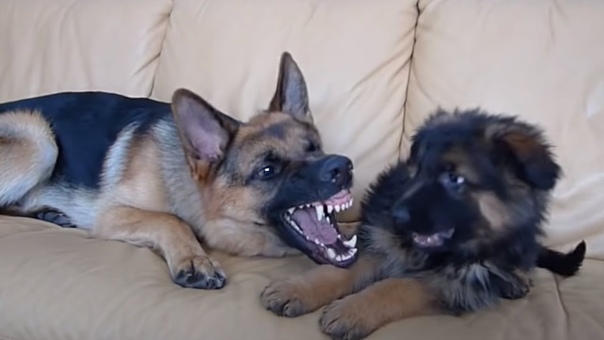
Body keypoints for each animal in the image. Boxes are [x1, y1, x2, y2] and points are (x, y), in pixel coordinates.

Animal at [0, 52, 358, 290]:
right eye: (267, 170)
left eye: (314, 147)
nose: (342, 167)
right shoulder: (112, 215)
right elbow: (170, 220)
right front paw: (196, 259)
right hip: (39, 139)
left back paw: (46, 212)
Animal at [260, 108, 584, 340]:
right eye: (416, 172)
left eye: (455, 179)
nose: (397, 217)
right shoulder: (377, 240)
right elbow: (341, 269)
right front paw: (295, 290)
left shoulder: (448, 285)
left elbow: (396, 286)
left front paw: (352, 311)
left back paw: (517, 278)